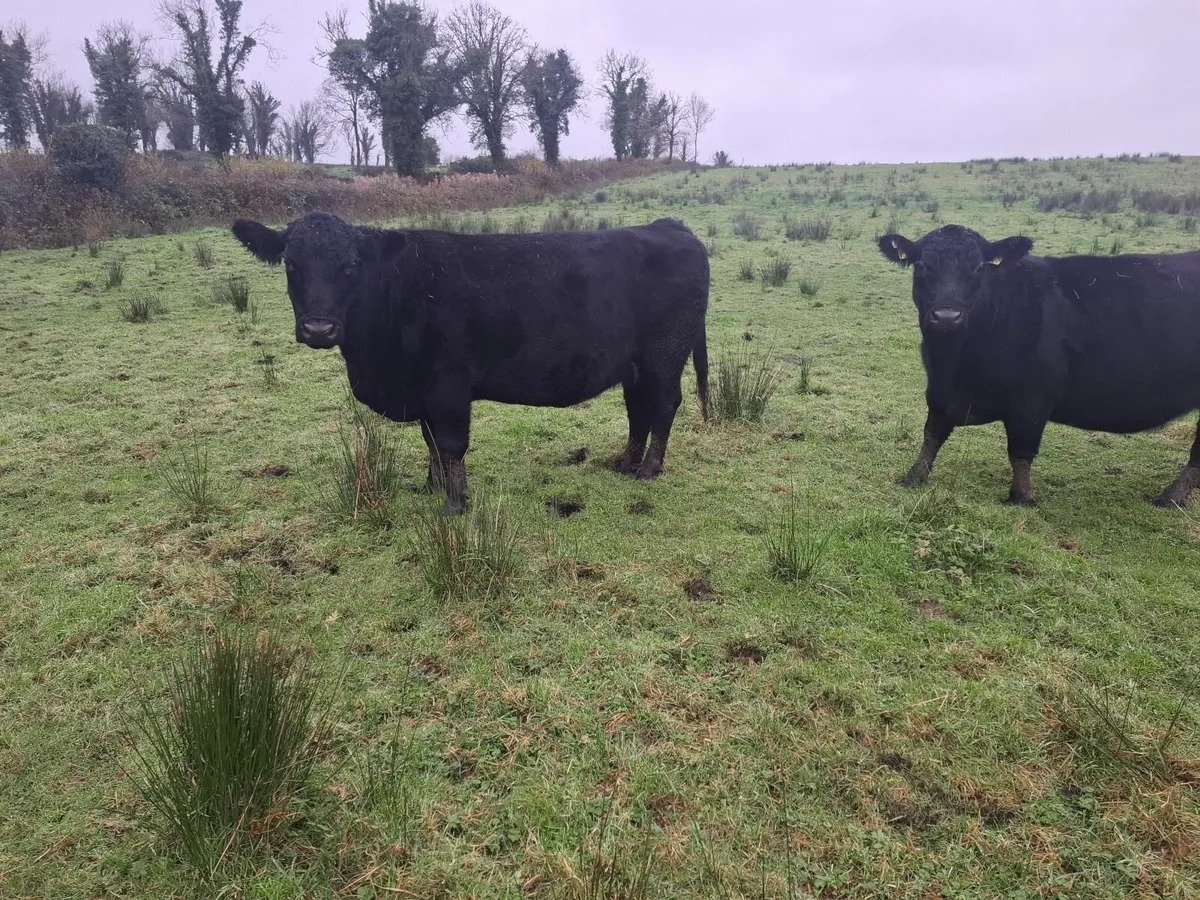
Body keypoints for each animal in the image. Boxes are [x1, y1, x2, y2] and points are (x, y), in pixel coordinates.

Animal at [231, 211, 710, 514]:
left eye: (350, 266)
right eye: (291, 265)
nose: (319, 329)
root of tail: (671, 227)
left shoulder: (447, 387)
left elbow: (450, 445)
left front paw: (455, 503)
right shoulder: (423, 392)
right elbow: (430, 443)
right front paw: (431, 487)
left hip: (664, 356)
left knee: (664, 405)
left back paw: (648, 469)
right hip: (634, 365)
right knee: (638, 410)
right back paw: (626, 464)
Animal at [877, 223, 1200, 508]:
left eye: (979, 268)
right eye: (923, 266)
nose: (947, 317)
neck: (954, 361)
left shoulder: (1031, 399)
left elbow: (1020, 450)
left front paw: (1021, 497)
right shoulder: (940, 391)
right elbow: (932, 435)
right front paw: (914, 476)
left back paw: (1171, 497)